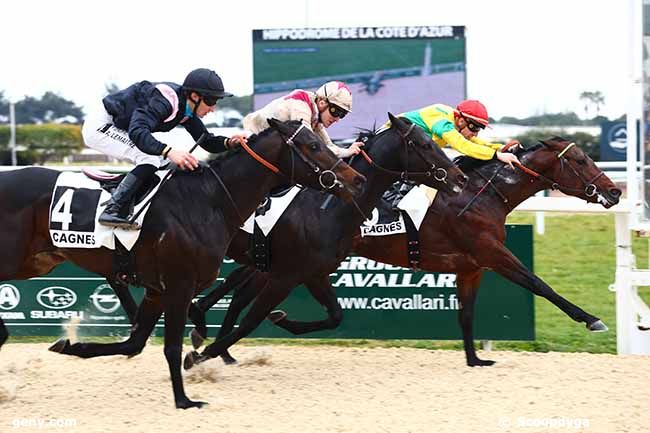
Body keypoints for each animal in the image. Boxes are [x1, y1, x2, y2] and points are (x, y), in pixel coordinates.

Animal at [0, 119, 364, 408]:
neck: (207, 201)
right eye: (313, 145)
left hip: (34, 263)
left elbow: (135, 342)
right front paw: (184, 399)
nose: (356, 179)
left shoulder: (157, 290)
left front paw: (70, 345)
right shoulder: (180, 285)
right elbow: (172, 346)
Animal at [181, 112, 466, 368]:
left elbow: (335, 316)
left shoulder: (313, 274)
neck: (327, 210)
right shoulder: (286, 276)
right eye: (425, 144)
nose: (460, 177)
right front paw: (201, 355)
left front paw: (280, 319)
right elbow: (252, 320)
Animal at [186, 135, 616, 364]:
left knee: (241, 289)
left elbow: (466, 315)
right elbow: (540, 285)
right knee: (241, 290)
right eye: (580, 159)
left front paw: (475, 359)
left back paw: (215, 337)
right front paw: (591, 319)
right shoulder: (492, 253)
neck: (482, 195)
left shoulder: (471, 267)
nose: (614, 192)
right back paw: (209, 332)